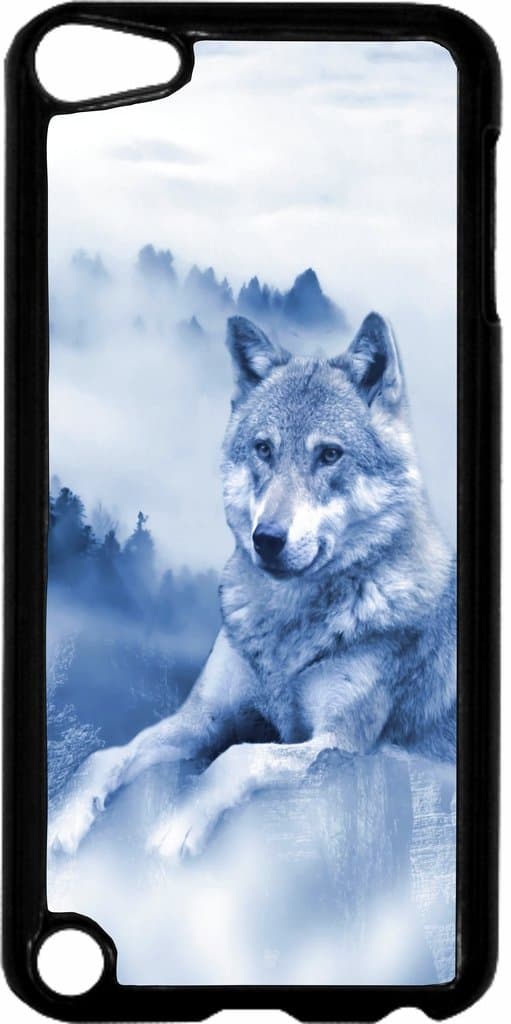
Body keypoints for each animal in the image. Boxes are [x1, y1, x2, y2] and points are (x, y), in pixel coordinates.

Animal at [49, 312, 456, 859]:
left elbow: (238, 757)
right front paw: (64, 817)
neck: (288, 623)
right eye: (264, 449)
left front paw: (178, 825)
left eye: (330, 455)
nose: (267, 539)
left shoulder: (342, 745)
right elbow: (106, 756)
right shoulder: (203, 717)